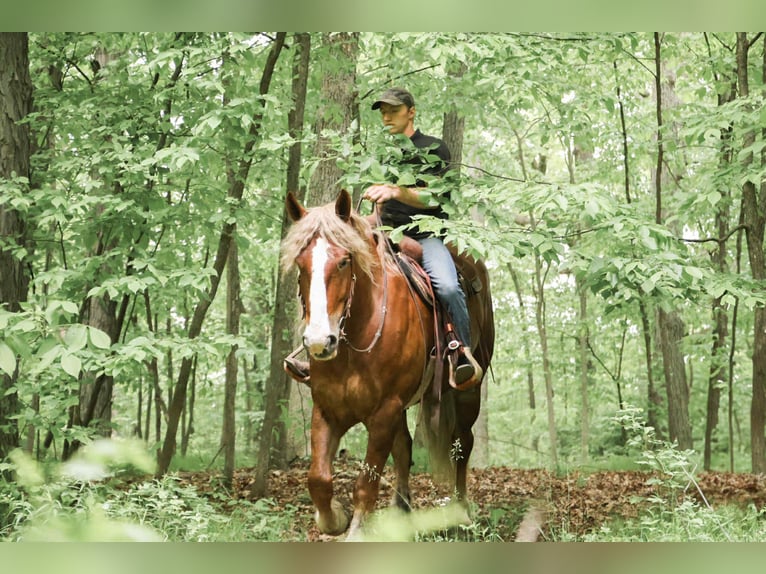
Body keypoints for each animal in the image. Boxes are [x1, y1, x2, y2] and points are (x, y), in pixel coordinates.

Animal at [281, 189, 494, 540]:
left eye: (344, 261)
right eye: (301, 263)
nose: (319, 341)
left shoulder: (384, 411)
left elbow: (366, 483)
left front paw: (354, 531)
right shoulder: (327, 408)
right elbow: (319, 479)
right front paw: (333, 518)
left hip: (466, 392)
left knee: (462, 444)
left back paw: (461, 511)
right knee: (404, 447)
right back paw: (402, 512)